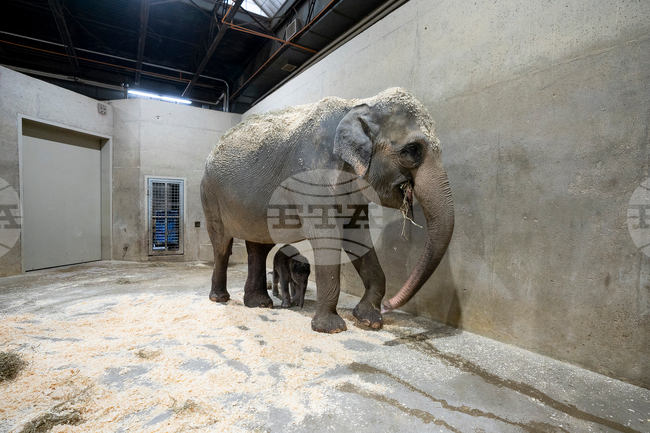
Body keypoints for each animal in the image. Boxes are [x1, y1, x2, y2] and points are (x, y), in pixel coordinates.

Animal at [200, 87, 454, 334]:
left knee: (258, 248)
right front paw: (332, 328)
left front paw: (370, 320)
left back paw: (259, 303)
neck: (359, 104)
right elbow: (326, 236)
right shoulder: (311, 173)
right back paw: (220, 298)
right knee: (222, 245)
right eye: (412, 150)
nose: (388, 305)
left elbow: (358, 236)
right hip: (210, 194)